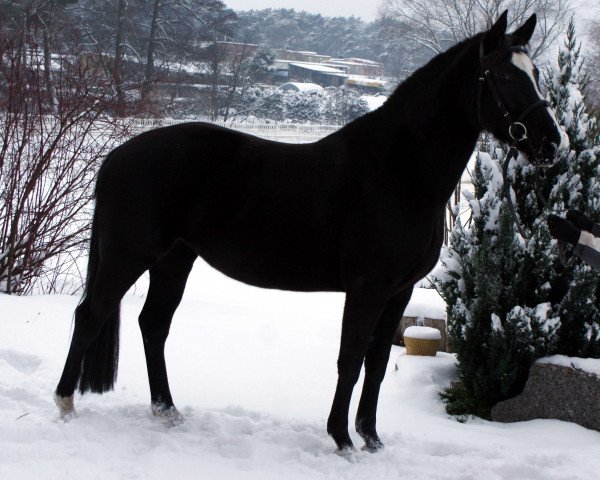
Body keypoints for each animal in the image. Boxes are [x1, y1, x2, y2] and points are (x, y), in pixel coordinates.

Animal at [56, 12, 564, 454]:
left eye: (535, 72)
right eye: (504, 76)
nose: (550, 142)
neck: (399, 169)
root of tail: (118, 155)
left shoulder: (398, 291)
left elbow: (377, 365)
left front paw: (373, 440)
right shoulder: (367, 288)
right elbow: (350, 360)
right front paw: (342, 440)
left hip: (174, 260)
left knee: (153, 325)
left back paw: (167, 411)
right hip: (128, 256)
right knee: (91, 315)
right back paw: (65, 405)